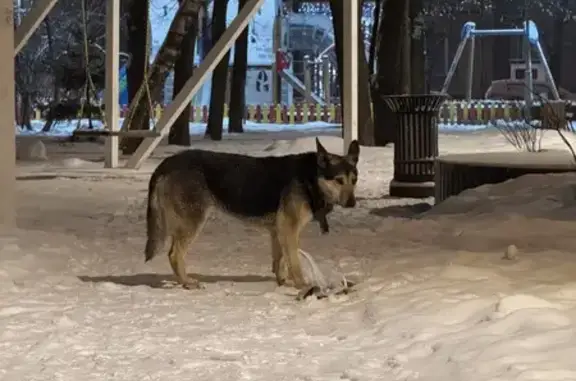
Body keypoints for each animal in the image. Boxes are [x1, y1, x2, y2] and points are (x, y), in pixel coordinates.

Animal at [144, 138, 360, 290]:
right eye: (339, 180)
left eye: (354, 180)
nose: (352, 203)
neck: (311, 177)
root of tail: (167, 163)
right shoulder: (289, 228)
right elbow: (294, 262)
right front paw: (303, 286)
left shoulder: (278, 230)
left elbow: (280, 260)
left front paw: (283, 282)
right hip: (193, 221)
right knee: (174, 254)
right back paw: (187, 282)